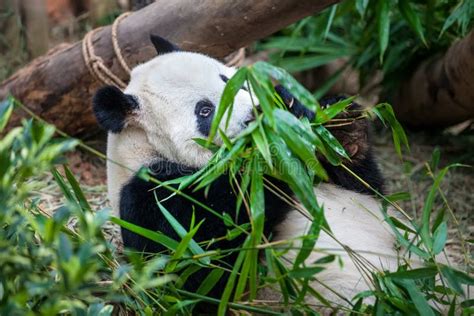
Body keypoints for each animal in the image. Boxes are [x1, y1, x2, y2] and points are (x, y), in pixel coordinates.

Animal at [94, 34, 402, 308]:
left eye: (228, 80)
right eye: (204, 111)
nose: (257, 112)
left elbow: (366, 187)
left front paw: (339, 124)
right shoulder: (151, 200)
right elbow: (199, 273)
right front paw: (268, 163)